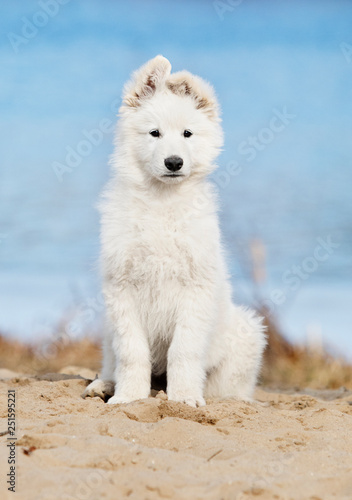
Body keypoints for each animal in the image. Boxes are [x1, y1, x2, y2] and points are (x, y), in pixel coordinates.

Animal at [82, 55, 266, 406]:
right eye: (154, 133)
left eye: (187, 133)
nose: (174, 162)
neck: (161, 202)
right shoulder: (121, 289)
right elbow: (131, 352)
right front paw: (128, 397)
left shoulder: (195, 290)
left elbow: (184, 351)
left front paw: (183, 398)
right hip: (107, 328)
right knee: (112, 361)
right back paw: (104, 385)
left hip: (246, 333)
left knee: (227, 388)